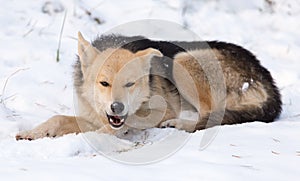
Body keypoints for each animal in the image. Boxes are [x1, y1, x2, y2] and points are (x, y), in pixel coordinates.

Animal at [15, 32, 282, 140]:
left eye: (130, 84)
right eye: (104, 83)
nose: (117, 107)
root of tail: (264, 73)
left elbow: (107, 130)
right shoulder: (92, 116)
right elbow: (58, 118)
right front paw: (33, 133)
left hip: (182, 62)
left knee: (209, 117)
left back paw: (179, 124)